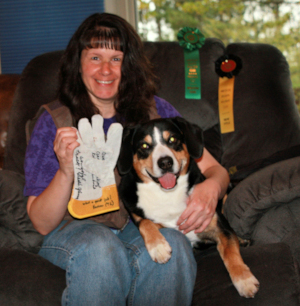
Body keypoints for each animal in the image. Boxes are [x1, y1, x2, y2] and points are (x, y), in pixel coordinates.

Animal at [117, 116, 260, 298]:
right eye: (144, 146)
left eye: (172, 139)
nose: (165, 162)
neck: (167, 194)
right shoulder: (138, 214)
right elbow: (145, 223)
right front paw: (158, 247)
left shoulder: (219, 227)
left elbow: (230, 253)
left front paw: (244, 280)